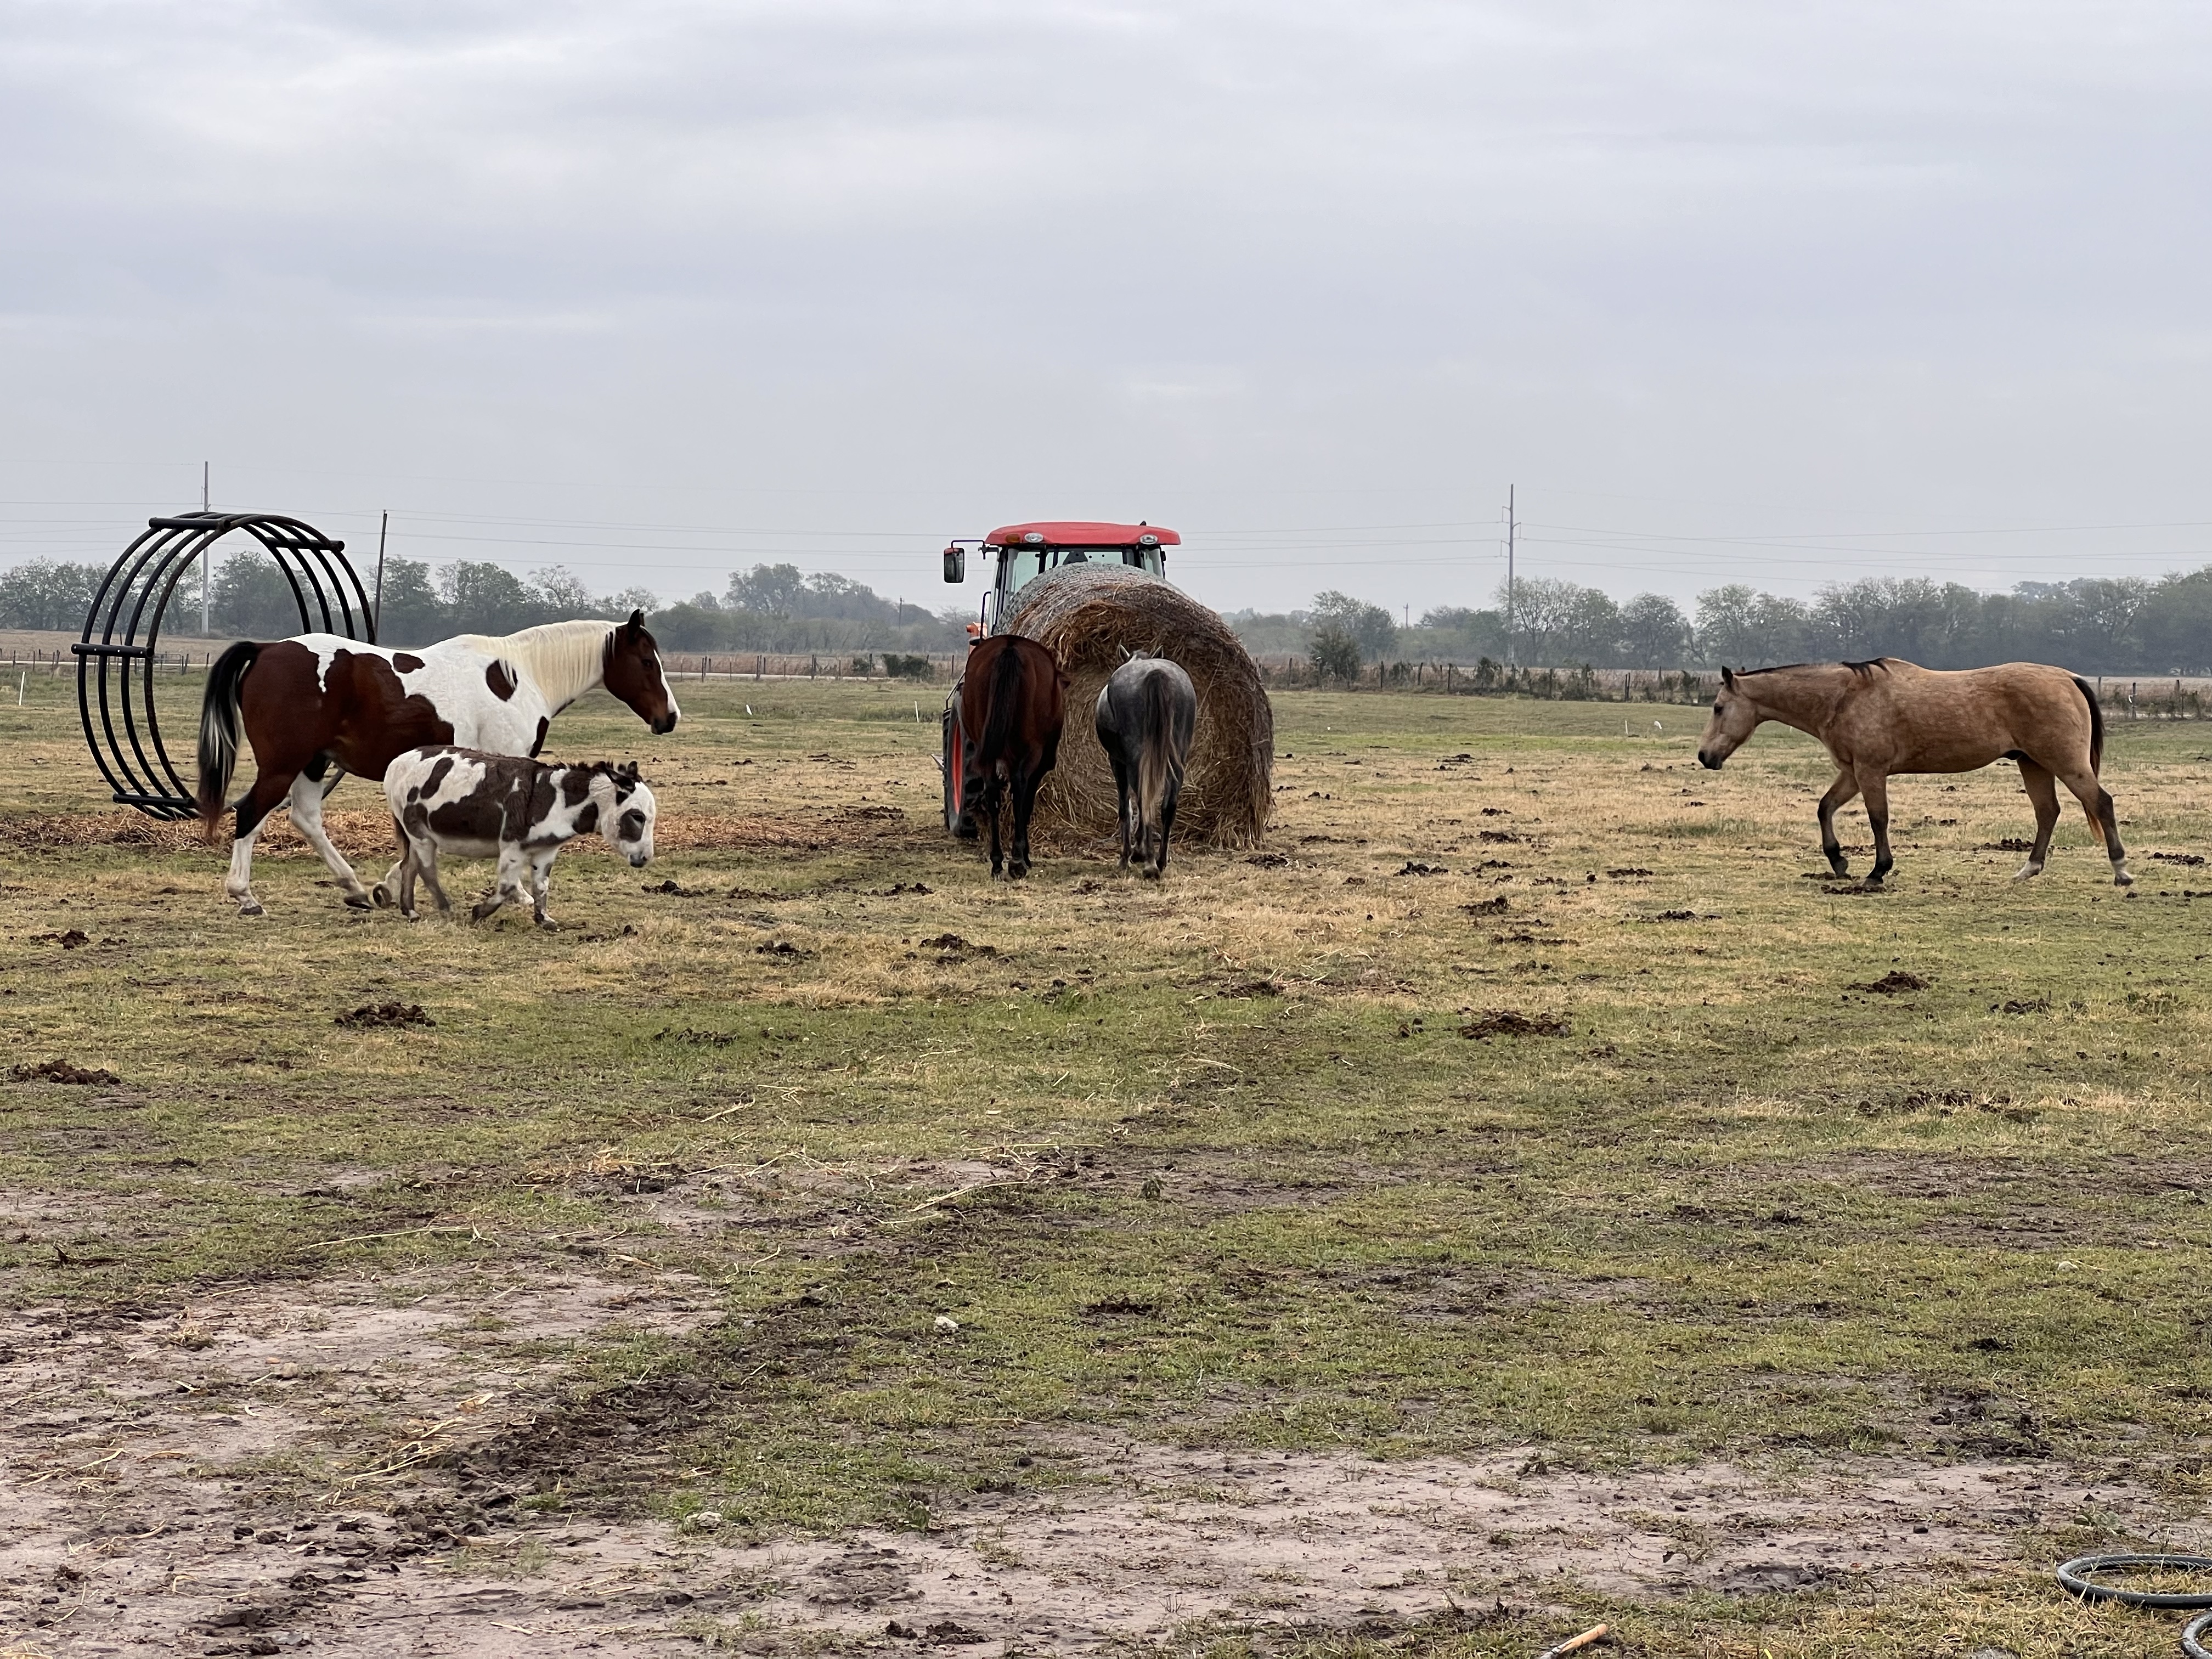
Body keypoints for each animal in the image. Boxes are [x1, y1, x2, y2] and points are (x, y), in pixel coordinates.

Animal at [195, 611, 678, 915]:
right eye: (646, 661)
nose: (669, 717)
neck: (519, 675)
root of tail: (265, 650)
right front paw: (519, 895)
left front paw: (389, 885)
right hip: (284, 764)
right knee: (251, 813)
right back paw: (245, 896)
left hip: (314, 763)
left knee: (306, 818)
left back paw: (355, 888)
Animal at [958, 633, 1066, 879]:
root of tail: (1010, 647)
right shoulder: (1040, 765)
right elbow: (1026, 805)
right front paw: (1024, 855)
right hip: (1030, 752)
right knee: (1018, 791)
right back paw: (1017, 861)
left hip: (986, 751)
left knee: (992, 795)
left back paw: (997, 861)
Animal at [1094, 654, 1196, 878]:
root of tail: (1156, 674)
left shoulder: (1117, 761)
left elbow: (1126, 808)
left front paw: (1129, 855)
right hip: (1177, 759)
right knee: (1168, 805)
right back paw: (1160, 860)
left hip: (1135, 759)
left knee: (1145, 801)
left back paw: (1149, 863)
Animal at [1696, 657, 2130, 889]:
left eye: (1718, 707)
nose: (1704, 756)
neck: (1844, 697)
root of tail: (2067, 678)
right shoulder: (1853, 773)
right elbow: (1824, 808)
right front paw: (1838, 861)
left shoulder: (1871, 772)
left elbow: (1878, 819)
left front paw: (1877, 871)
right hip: (2033, 763)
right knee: (2047, 812)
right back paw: (2028, 870)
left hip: (2064, 763)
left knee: (2100, 802)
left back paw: (2121, 871)